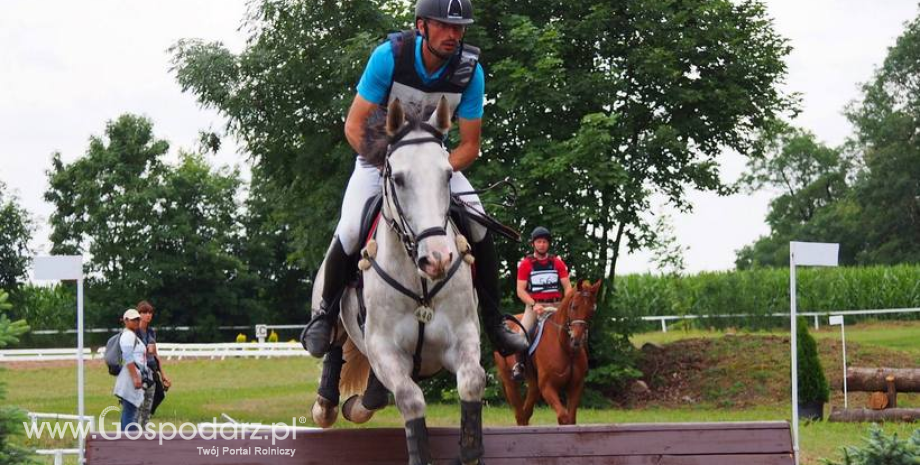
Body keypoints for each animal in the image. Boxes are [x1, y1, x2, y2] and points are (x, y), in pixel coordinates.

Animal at [310, 98, 486, 464]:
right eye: (400, 179)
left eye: (447, 175)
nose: (437, 258)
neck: (420, 284)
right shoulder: (384, 348)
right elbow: (410, 398)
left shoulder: (461, 337)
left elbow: (472, 382)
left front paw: (470, 450)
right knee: (333, 341)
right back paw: (327, 406)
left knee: (374, 393)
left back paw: (355, 405)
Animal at [492, 278, 600, 426]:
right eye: (574, 307)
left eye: (592, 310)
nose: (577, 340)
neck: (565, 348)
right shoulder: (547, 386)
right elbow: (563, 417)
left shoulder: (576, 386)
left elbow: (571, 419)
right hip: (509, 381)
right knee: (520, 414)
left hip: (533, 383)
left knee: (526, 411)